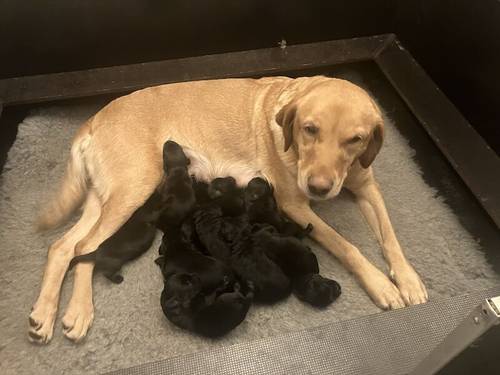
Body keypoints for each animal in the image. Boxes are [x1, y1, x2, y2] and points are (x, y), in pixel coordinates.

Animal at [28, 75, 426, 344]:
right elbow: (346, 245)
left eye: (355, 140)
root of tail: (93, 119)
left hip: (108, 198)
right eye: (309, 129)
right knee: (85, 247)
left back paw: (46, 315)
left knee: (65, 247)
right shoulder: (294, 204)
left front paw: (407, 279)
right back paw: (78, 311)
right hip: (132, 189)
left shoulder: (367, 187)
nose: (319, 187)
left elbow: (391, 236)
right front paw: (380, 284)